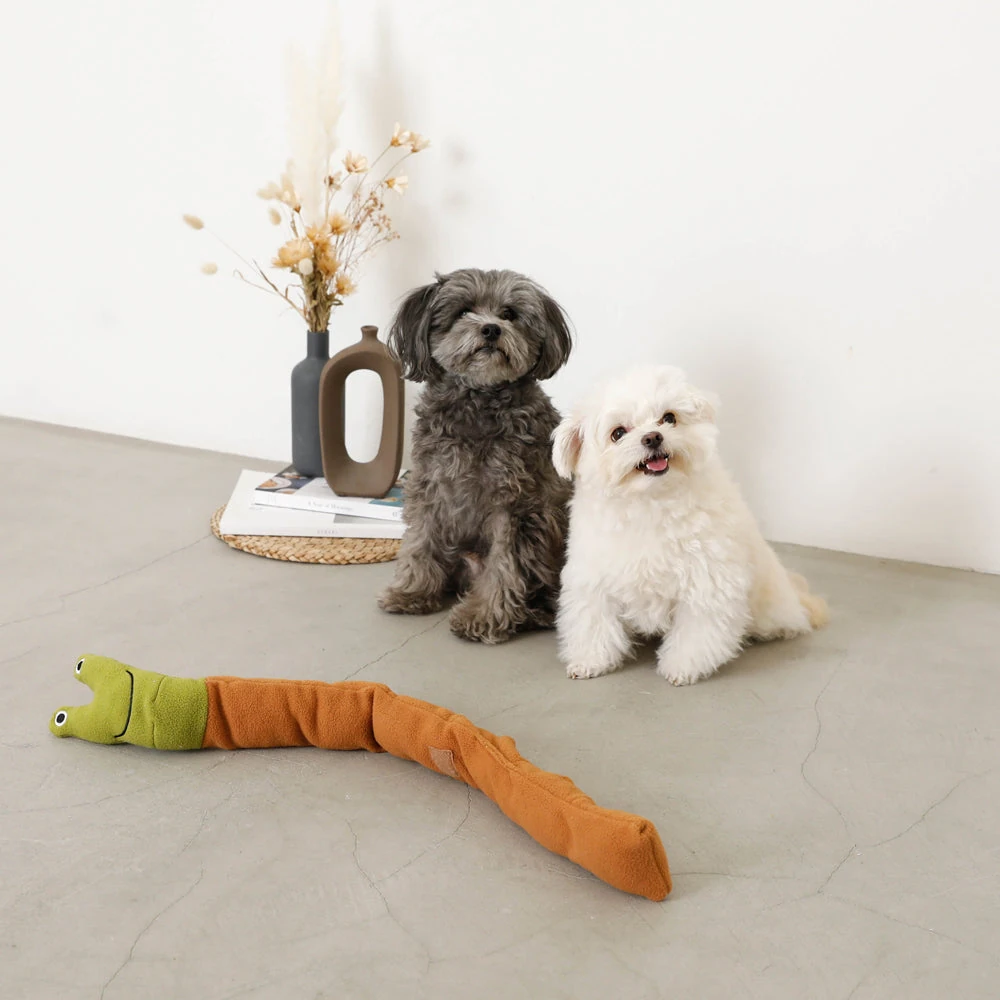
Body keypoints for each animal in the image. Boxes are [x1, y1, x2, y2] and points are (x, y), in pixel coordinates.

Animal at [378, 268, 573, 644]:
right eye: (464, 311)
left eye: (509, 313)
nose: (491, 329)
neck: (478, 399)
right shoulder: (429, 486)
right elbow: (419, 540)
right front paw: (412, 591)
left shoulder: (514, 506)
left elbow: (504, 565)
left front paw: (483, 617)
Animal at [552, 365, 828, 684]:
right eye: (618, 433)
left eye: (669, 417)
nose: (653, 437)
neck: (651, 502)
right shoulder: (593, 580)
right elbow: (594, 623)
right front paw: (590, 660)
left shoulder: (709, 581)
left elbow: (697, 632)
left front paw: (683, 667)